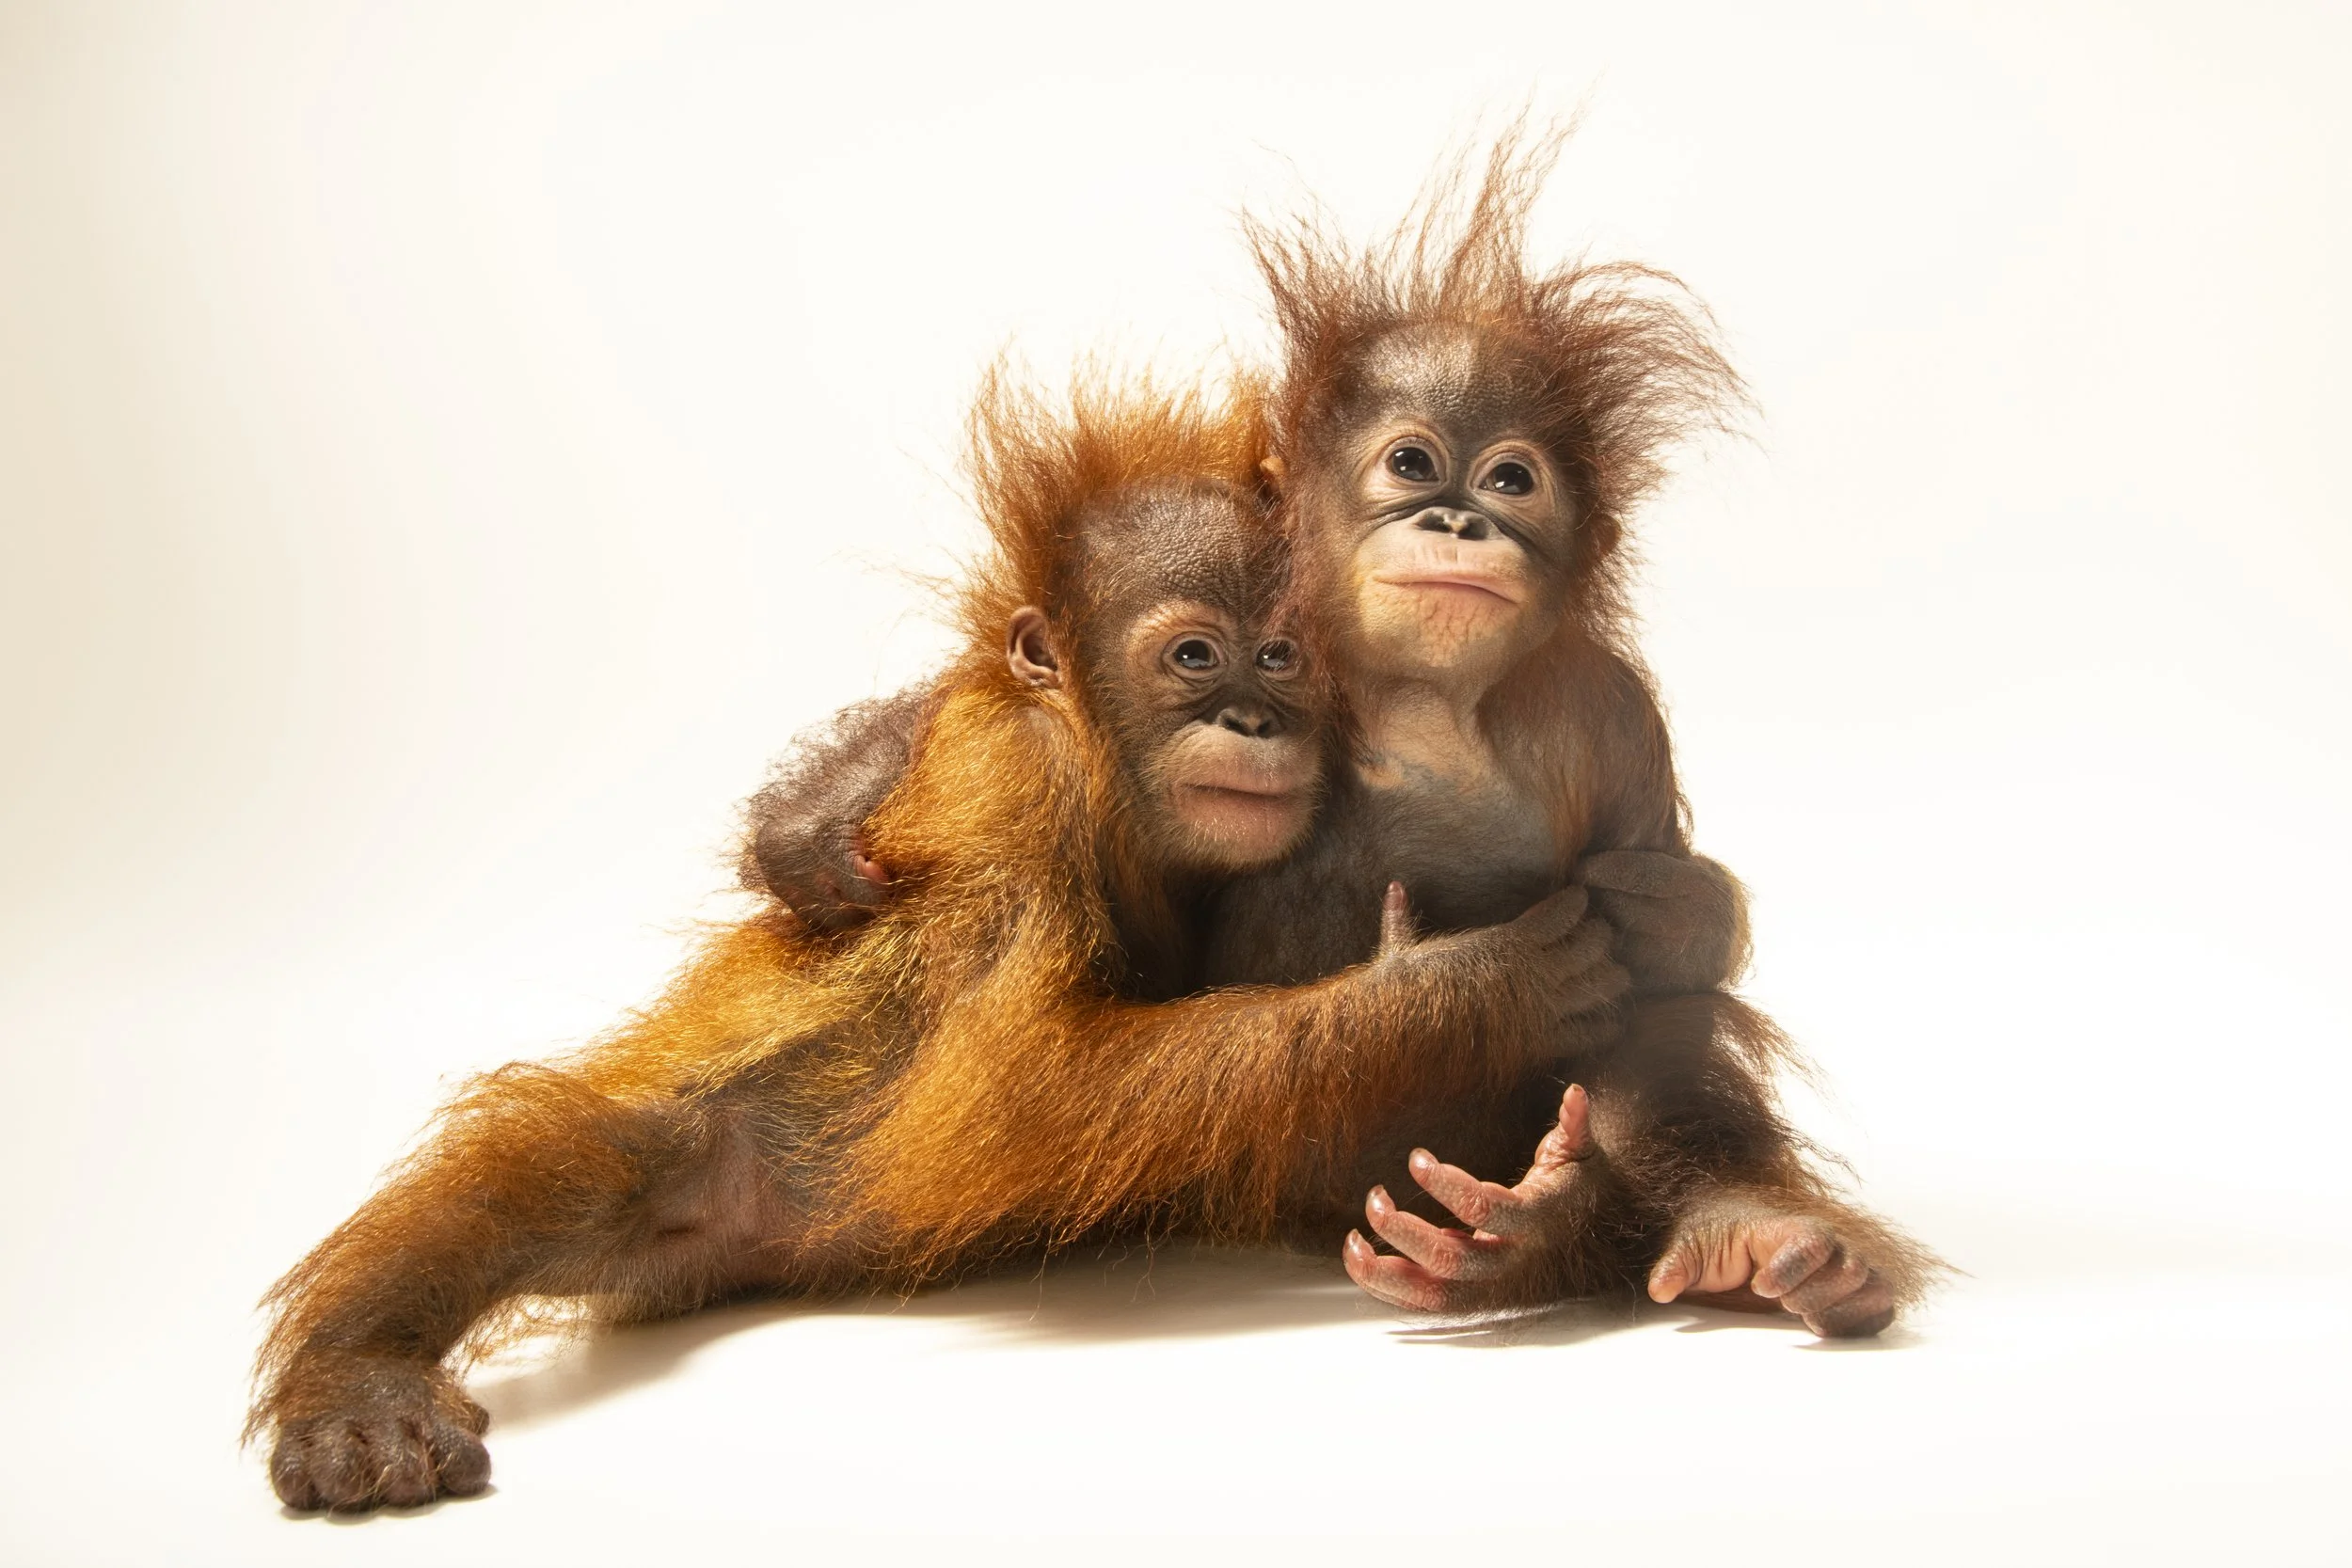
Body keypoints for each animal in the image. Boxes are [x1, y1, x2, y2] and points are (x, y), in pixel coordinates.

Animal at [252, 373, 1628, 1512]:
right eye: (1195, 654)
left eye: (1283, 657)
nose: (1252, 718)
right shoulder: (1015, 792)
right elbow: (1019, 1088)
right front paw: (1457, 982)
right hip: (702, 1158)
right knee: (564, 1166)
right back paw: (357, 1382)